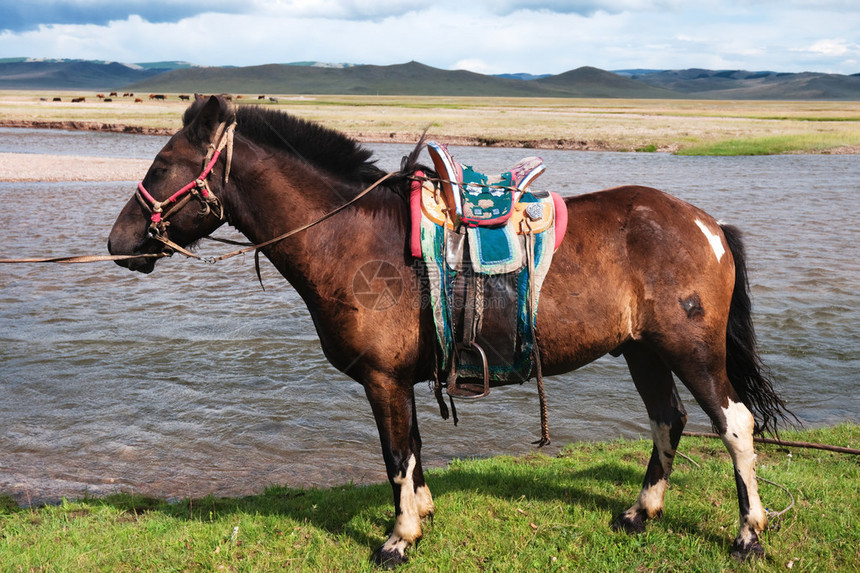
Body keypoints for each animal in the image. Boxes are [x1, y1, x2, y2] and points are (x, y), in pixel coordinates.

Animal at [107, 96, 792, 564]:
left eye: (164, 163)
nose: (117, 243)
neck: (351, 239)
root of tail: (707, 224)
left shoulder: (383, 380)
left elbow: (394, 456)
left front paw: (398, 539)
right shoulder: (401, 381)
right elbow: (412, 450)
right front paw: (423, 515)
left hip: (690, 351)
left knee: (734, 425)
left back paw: (748, 535)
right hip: (643, 352)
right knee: (667, 420)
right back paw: (639, 515)